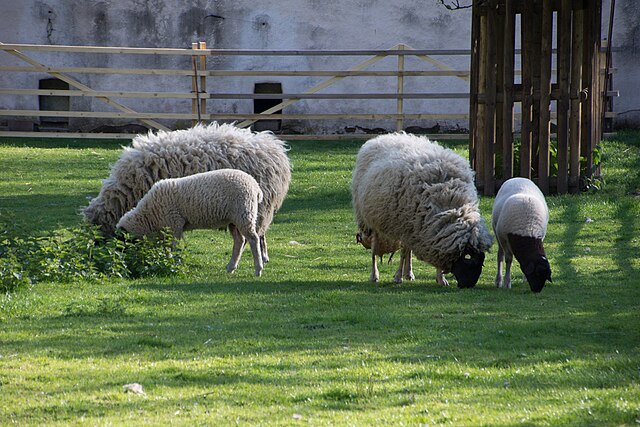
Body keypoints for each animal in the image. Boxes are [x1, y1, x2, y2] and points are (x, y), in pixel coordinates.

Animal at [83, 122, 291, 264]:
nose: (95, 255)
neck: (127, 192)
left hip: (257, 206)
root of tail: (273, 147)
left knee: (257, 234)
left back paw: (260, 257)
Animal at [116, 169, 265, 276]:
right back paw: (231, 267)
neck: (149, 216)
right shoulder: (169, 227)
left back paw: (258, 269)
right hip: (234, 219)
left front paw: (172, 264)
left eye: (122, 240)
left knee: (253, 239)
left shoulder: (174, 224)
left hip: (244, 214)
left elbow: (173, 247)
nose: (123, 261)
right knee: (239, 241)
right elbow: (166, 247)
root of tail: (256, 186)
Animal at [351, 132, 493, 287]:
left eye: (481, 264)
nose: (468, 286)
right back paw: (375, 275)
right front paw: (398, 277)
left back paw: (409, 273)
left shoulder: (425, 230)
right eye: (471, 262)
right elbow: (401, 253)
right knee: (374, 249)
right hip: (371, 217)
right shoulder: (406, 226)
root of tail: (383, 137)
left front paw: (440, 279)